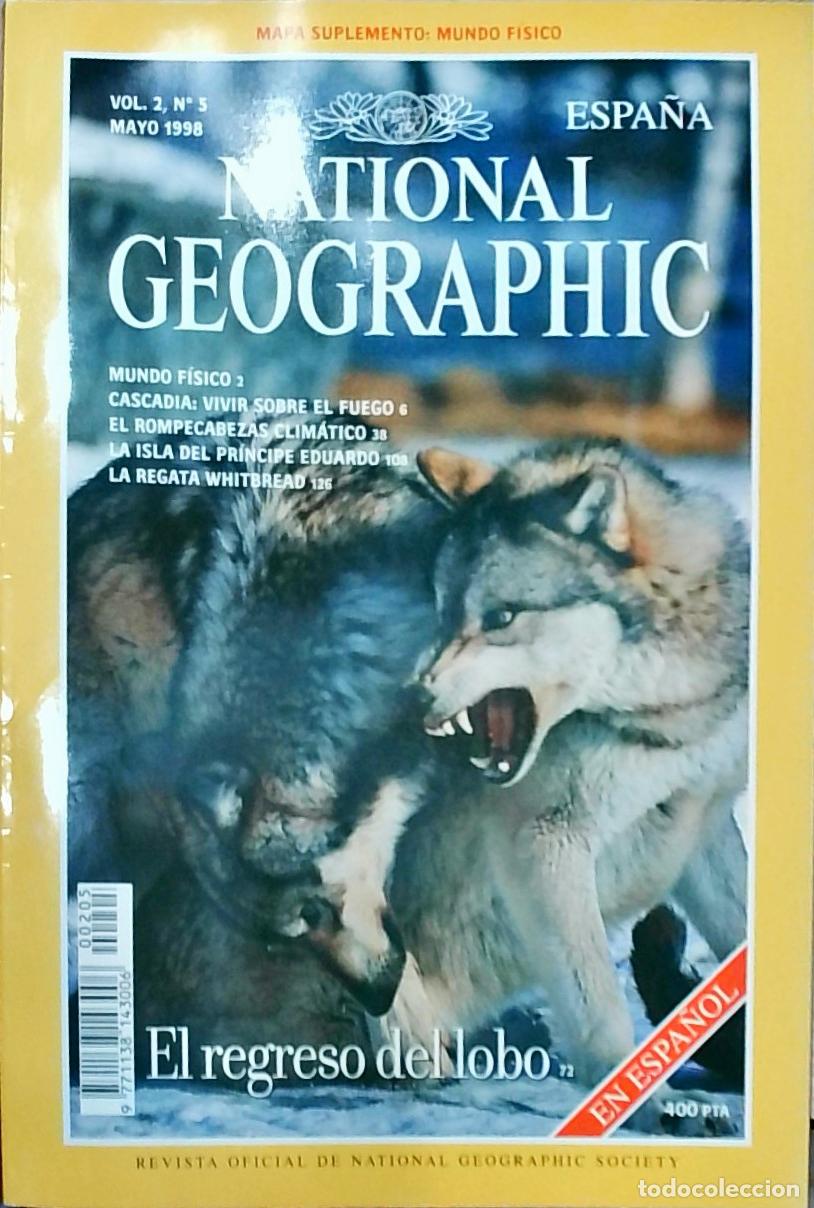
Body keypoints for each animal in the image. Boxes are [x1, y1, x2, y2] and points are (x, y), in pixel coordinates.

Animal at [380, 438, 748, 1131]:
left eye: (500, 616)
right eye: (444, 613)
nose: (410, 700)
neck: (658, 719)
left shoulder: (703, 826)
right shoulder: (544, 843)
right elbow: (599, 1004)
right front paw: (651, 1106)